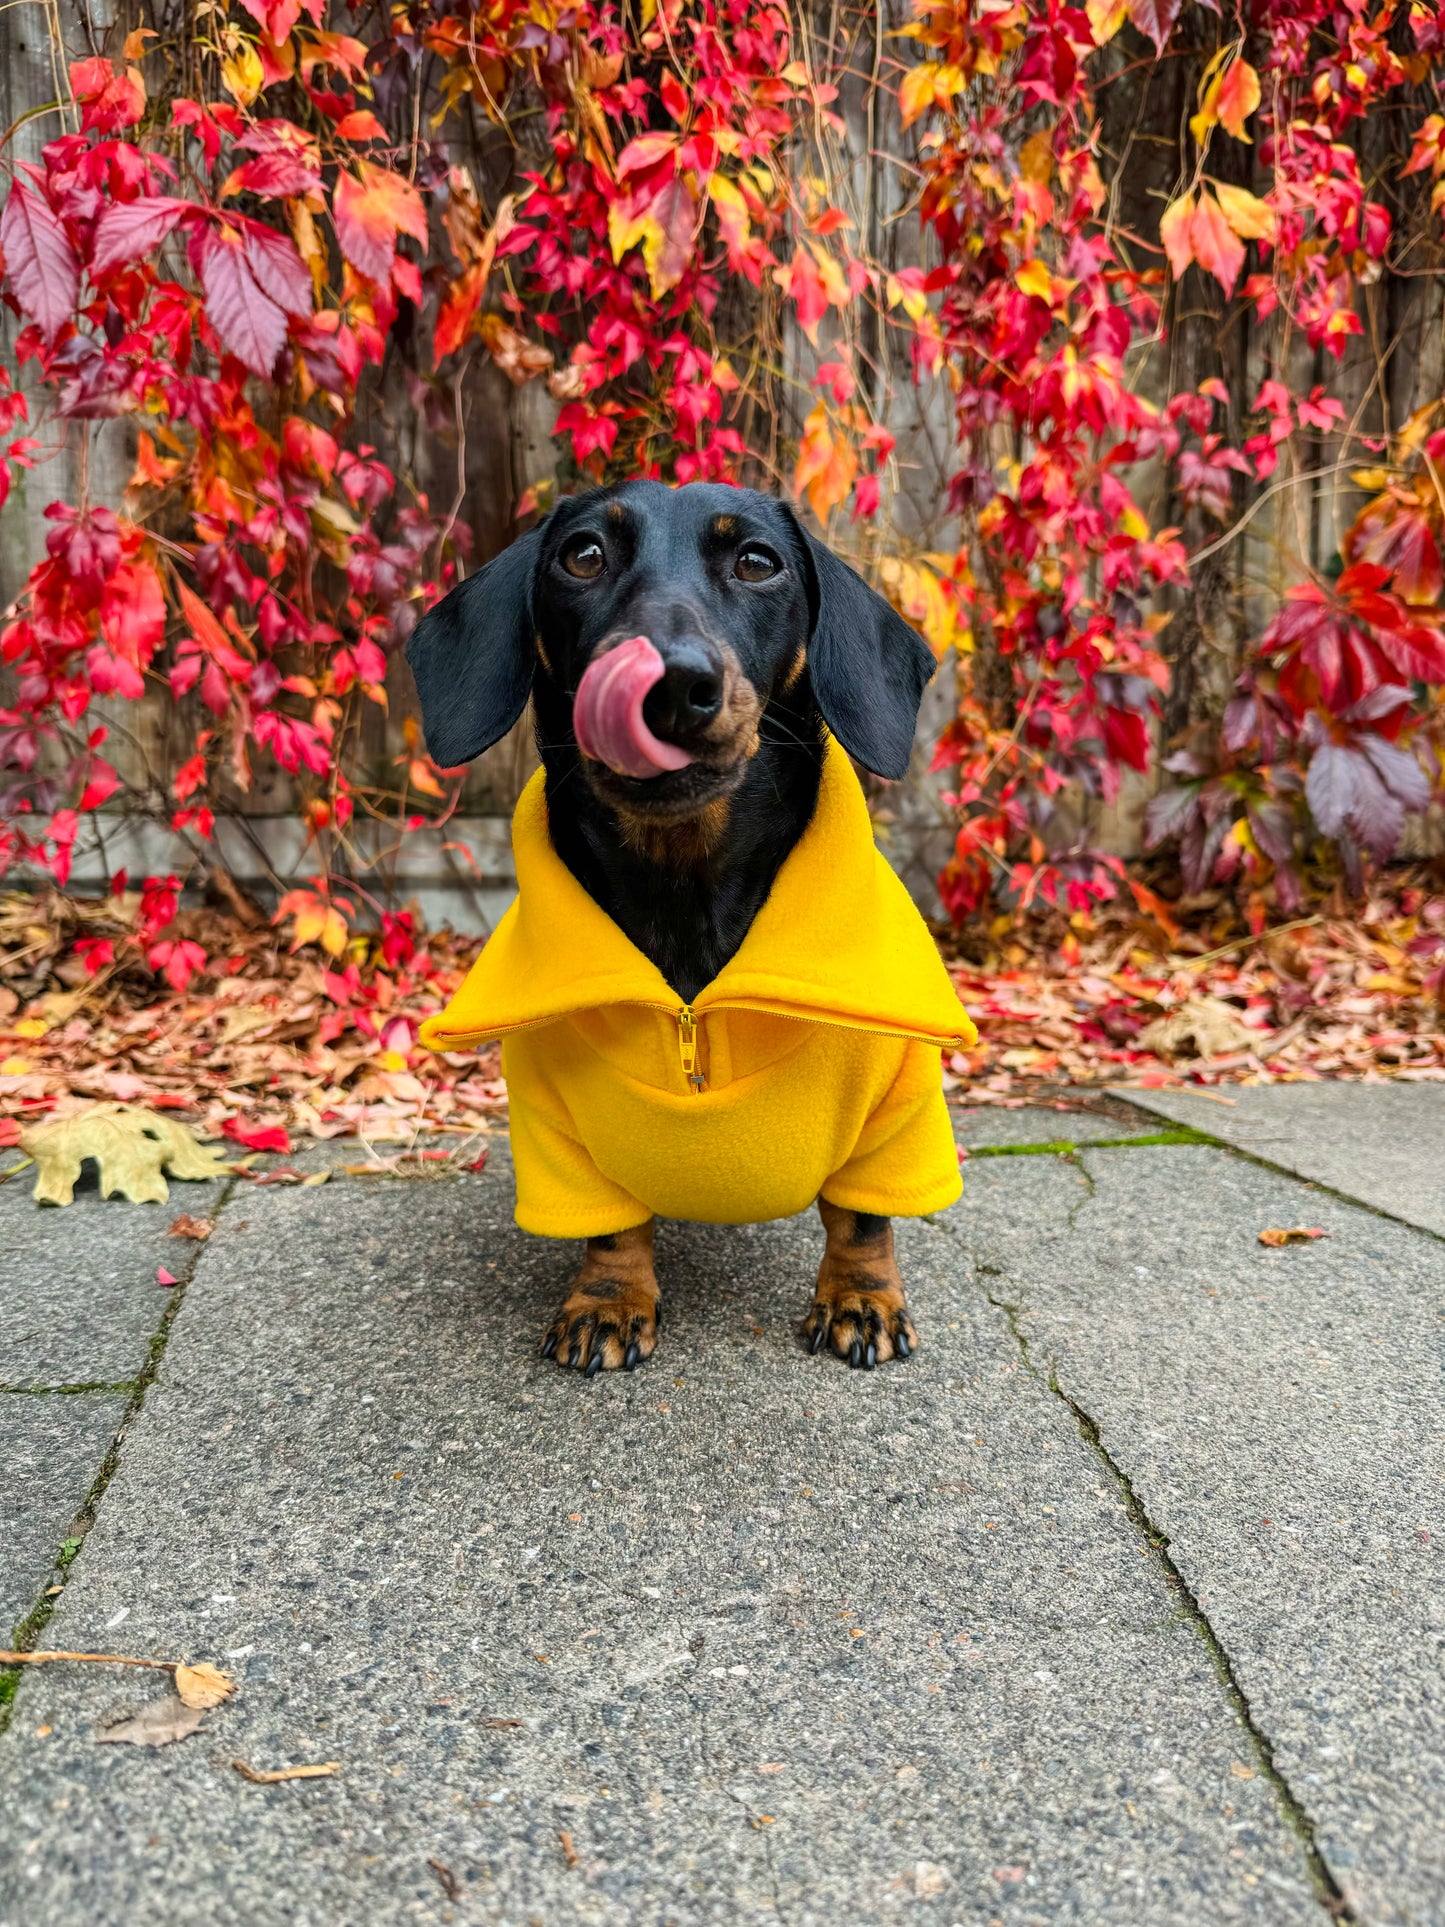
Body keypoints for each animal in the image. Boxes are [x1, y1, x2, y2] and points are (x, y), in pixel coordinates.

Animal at [408, 479, 974, 1372]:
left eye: (757, 561)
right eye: (582, 554)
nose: (670, 684)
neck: (686, 888)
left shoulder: (895, 1104)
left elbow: (861, 1215)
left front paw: (862, 1296)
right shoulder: (553, 1126)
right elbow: (609, 1231)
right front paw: (607, 1301)